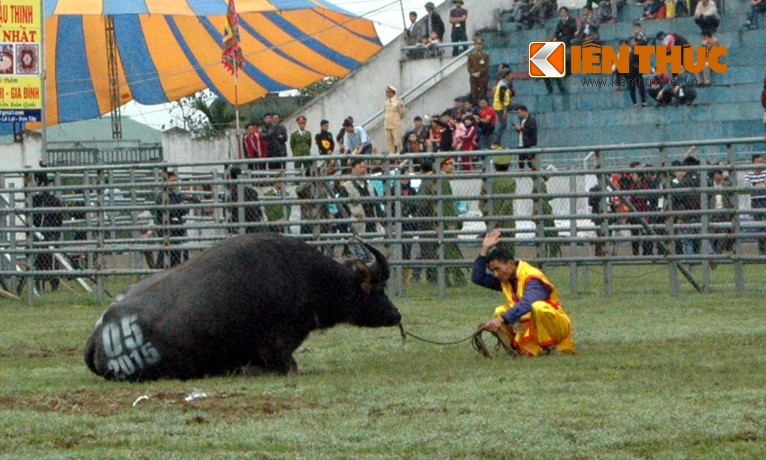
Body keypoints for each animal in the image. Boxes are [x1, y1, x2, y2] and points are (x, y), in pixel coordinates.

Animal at [84, 234, 402, 380]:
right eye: (379, 289)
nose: (397, 314)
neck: (308, 278)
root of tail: (101, 329)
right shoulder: (277, 348)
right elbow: (289, 367)